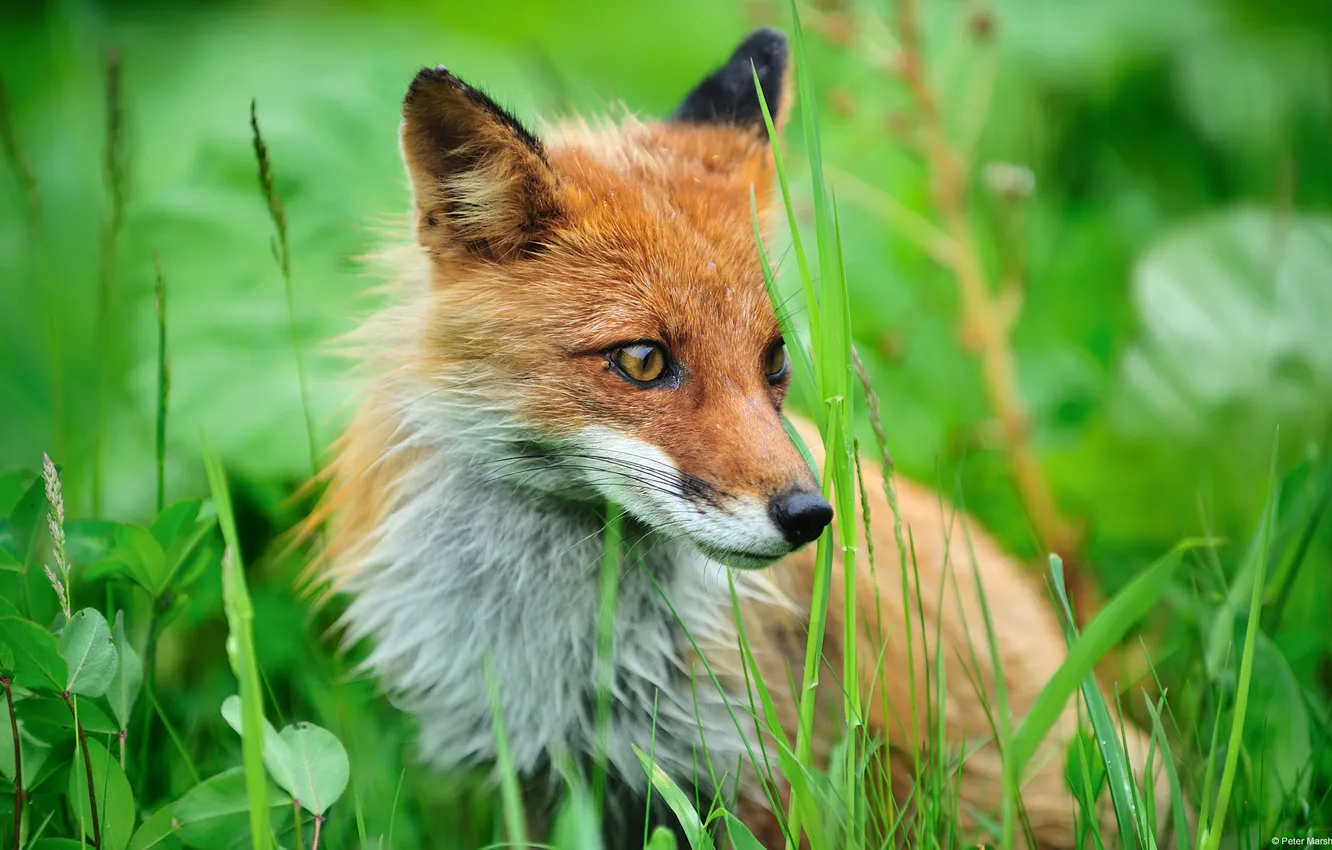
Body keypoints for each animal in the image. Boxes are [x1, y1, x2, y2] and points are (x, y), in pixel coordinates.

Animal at [314, 27, 1175, 850]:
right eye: (643, 360)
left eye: (774, 361)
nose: (811, 517)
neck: (564, 642)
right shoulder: (537, 773)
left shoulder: (759, 774)